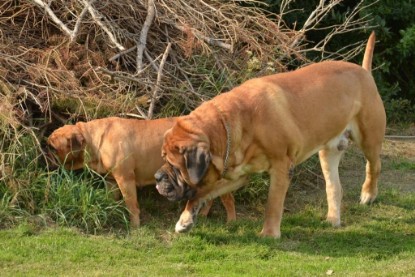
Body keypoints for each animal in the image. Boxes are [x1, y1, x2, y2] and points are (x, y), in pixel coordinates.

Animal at [46, 116, 236, 226]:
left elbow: (132, 205)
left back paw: (231, 223)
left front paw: (135, 227)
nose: (44, 152)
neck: (92, 141)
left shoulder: (125, 179)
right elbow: (111, 199)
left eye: (53, 147)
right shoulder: (111, 181)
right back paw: (203, 215)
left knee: (228, 199)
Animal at [155, 31, 386, 236]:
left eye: (174, 165)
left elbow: (272, 204)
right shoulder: (238, 175)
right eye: (163, 158)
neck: (233, 124)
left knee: (374, 166)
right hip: (328, 153)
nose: (157, 177)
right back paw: (332, 219)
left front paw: (269, 233)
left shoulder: (282, 166)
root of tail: (364, 72)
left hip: (369, 138)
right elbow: (201, 193)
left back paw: (368, 194)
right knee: (334, 187)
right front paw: (185, 220)